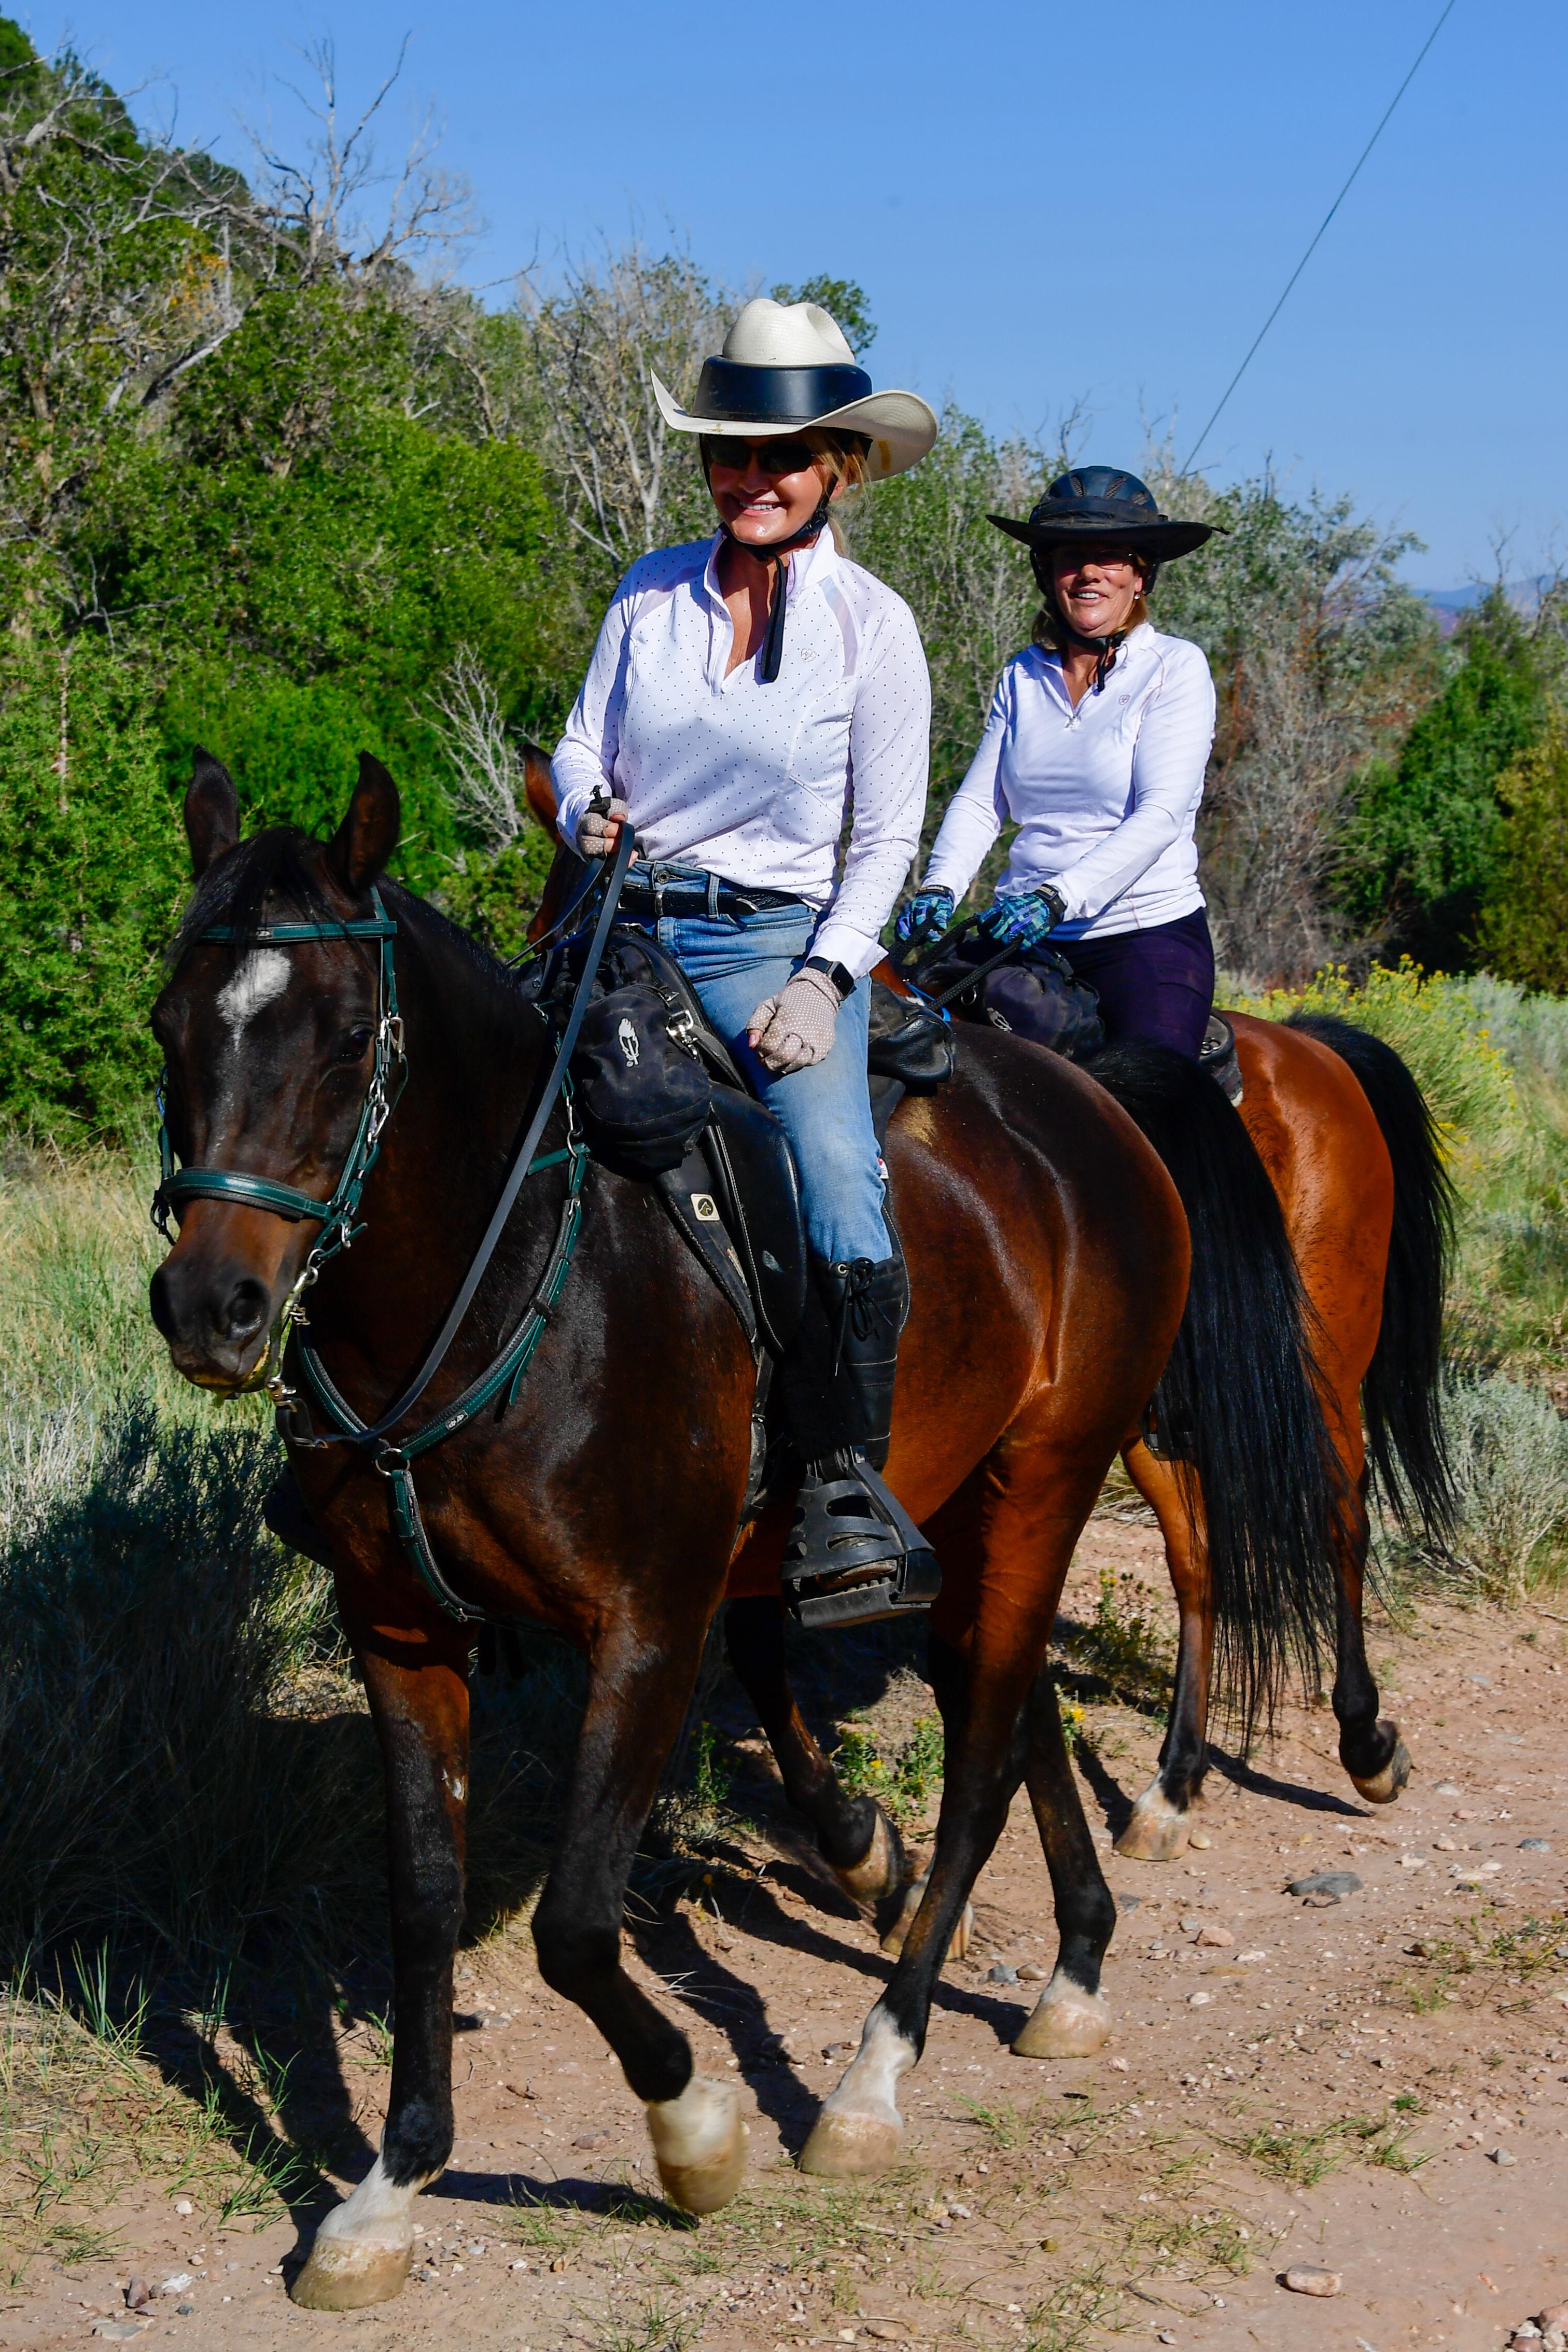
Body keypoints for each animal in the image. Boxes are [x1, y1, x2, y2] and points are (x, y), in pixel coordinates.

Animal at [147, 749, 1341, 2311]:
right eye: (170, 1025)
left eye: (351, 1041)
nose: (210, 1307)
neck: (518, 1275)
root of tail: (1093, 1104)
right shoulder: (400, 1631)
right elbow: (422, 1901)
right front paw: (389, 2190)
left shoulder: (650, 1627)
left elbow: (576, 1927)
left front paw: (696, 2131)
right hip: (970, 1498)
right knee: (1012, 1701)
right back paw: (1071, 1967)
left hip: (1050, 1476)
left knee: (983, 1759)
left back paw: (873, 2079)